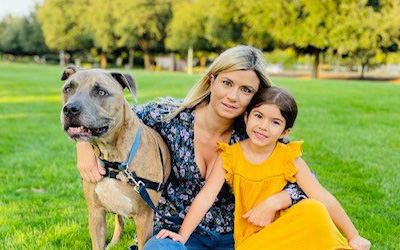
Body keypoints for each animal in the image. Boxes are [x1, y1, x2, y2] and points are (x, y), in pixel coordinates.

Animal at [60, 66, 170, 250]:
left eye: (101, 92)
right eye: (68, 89)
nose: (70, 108)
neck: (114, 160)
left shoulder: (144, 218)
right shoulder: (96, 214)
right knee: (119, 220)